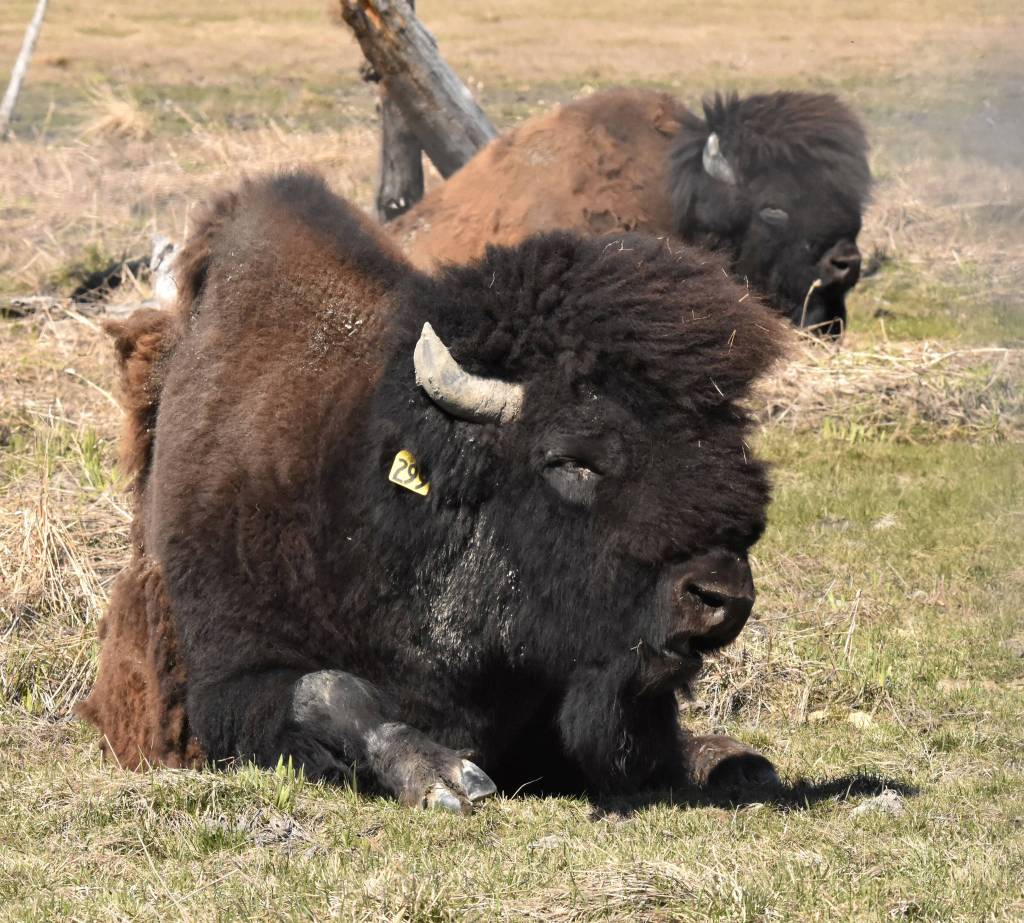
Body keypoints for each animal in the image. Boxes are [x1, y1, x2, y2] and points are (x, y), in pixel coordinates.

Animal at [79, 172, 789, 810]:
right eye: (570, 459)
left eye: (732, 443)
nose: (721, 595)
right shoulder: (228, 682)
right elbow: (329, 689)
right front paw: (445, 778)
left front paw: (729, 760)